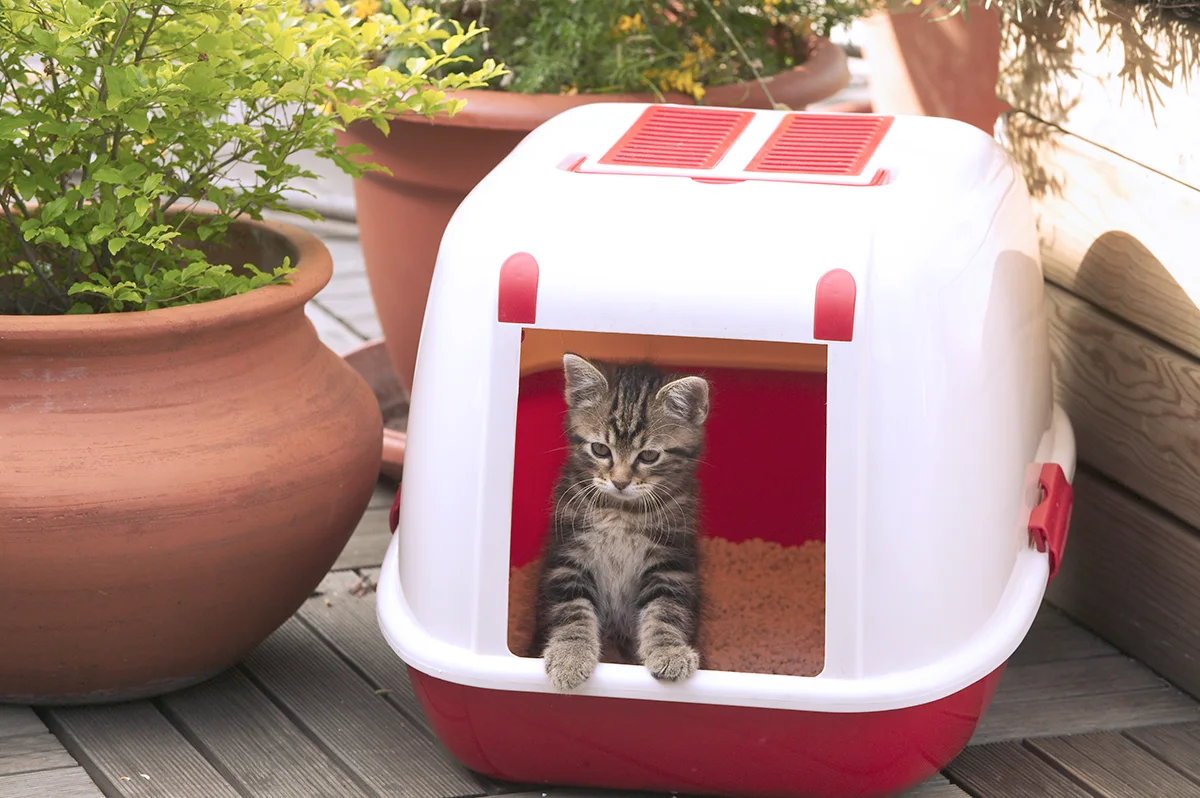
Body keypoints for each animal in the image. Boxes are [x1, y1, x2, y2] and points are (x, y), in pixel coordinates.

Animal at [532, 353, 709, 692]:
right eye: (601, 449)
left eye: (649, 456)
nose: (620, 481)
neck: (621, 510)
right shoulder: (569, 553)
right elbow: (572, 607)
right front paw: (570, 655)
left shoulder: (671, 559)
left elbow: (666, 607)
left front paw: (669, 650)